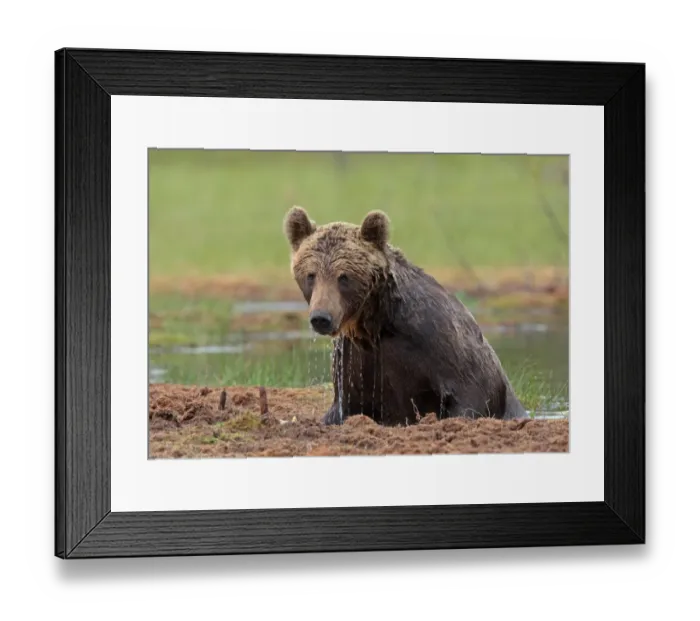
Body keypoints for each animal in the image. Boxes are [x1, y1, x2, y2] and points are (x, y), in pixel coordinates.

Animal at [283, 206, 529, 426]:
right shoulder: (357, 361)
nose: (321, 317)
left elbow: (473, 390)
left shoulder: (440, 343)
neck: (376, 325)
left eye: (344, 277)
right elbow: (346, 406)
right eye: (311, 275)